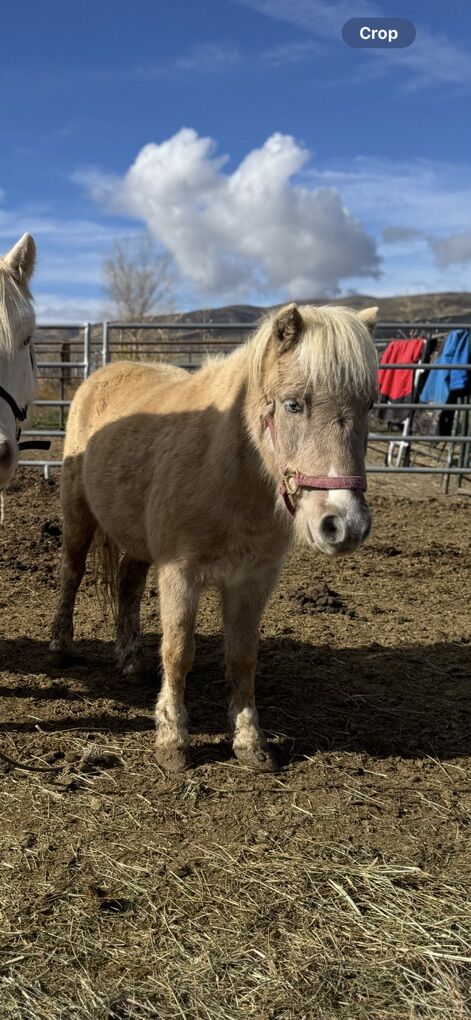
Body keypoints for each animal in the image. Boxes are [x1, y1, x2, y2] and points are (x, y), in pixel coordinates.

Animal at [50, 302, 378, 772]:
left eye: (369, 405)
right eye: (293, 404)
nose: (344, 523)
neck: (228, 472)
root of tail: (100, 376)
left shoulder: (252, 582)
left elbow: (242, 658)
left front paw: (250, 742)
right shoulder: (179, 574)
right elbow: (178, 652)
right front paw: (173, 741)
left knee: (128, 585)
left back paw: (131, 660)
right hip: (78, 517)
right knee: (72, 573)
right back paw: (61, 645)